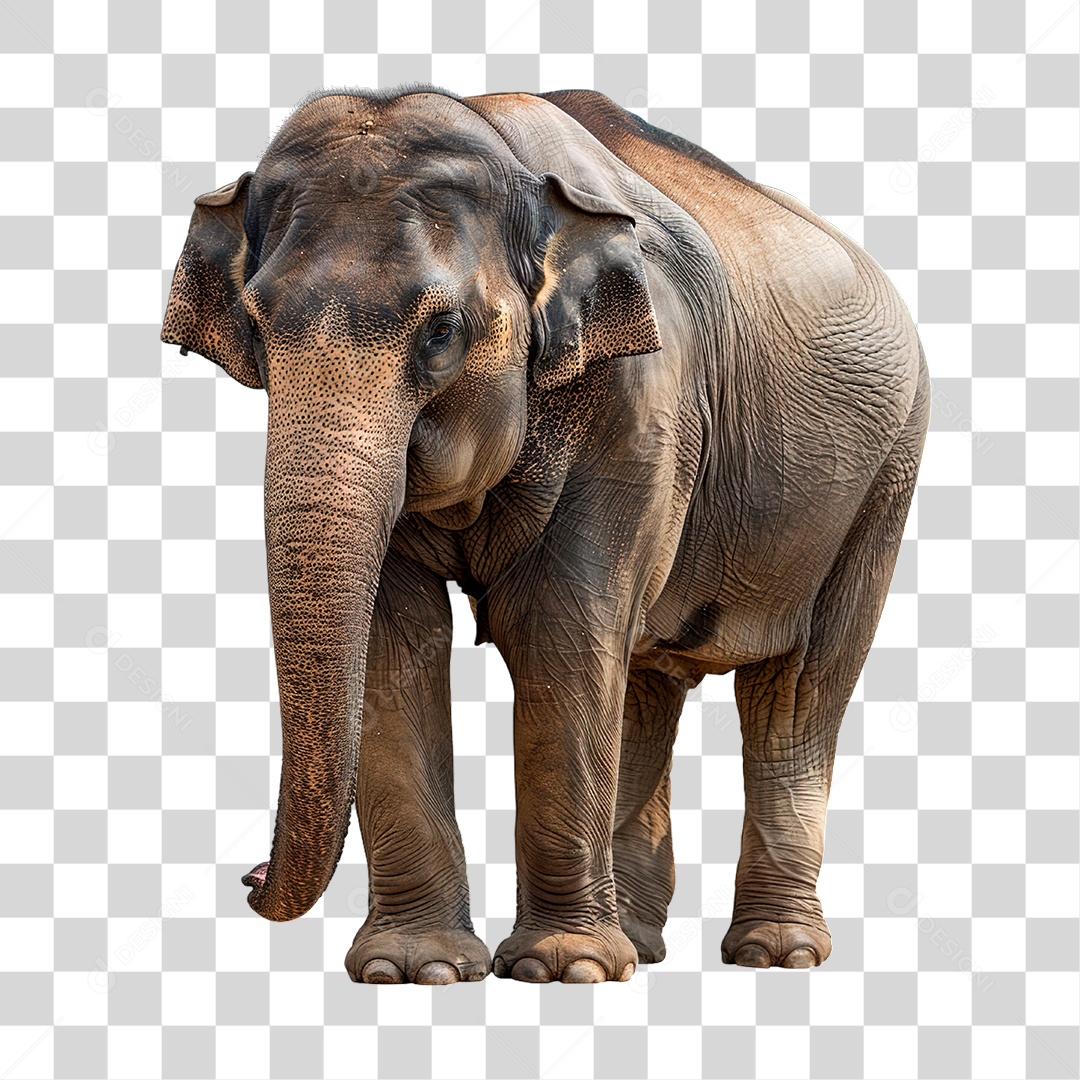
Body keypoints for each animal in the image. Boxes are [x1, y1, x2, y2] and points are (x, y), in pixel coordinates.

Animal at [161, 84, 929, 984]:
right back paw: (641, 945)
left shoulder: (640, 401)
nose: (248, 875)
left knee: (799, 688)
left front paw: (563, 969)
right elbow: (398, 637)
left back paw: (775, 953)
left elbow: (559, 626)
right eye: (257, 324)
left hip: (885, 476)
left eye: (442, 332)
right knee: (647, 678)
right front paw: (413, 970)